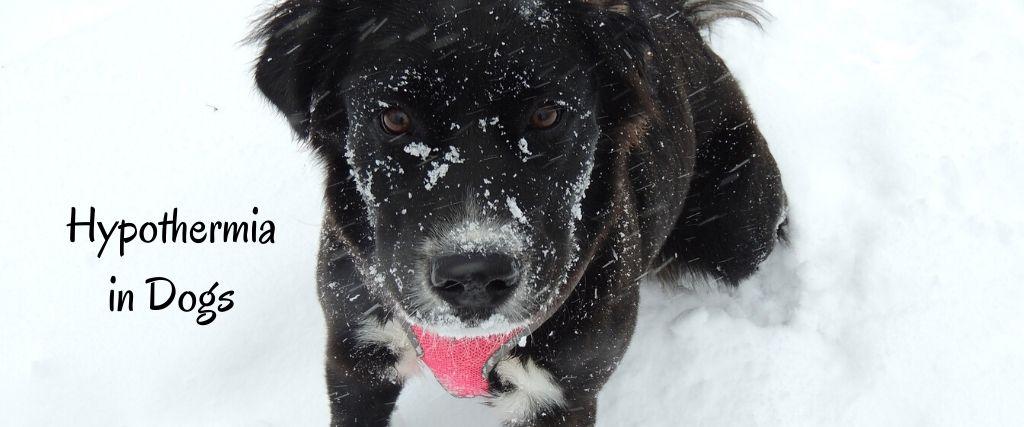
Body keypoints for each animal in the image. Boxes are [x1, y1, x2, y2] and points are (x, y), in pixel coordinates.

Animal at [251, 1, 786, 423]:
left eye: (547, 115)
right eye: (395, 119)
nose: (473, 277)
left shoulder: (561, 394)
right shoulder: (356, 353)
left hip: (738, 233)